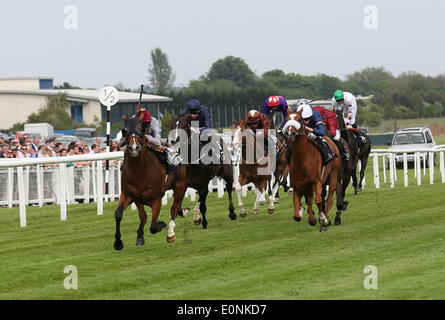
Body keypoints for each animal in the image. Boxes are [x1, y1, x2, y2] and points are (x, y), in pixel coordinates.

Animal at [113, 114, 186, 250]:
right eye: (125, 131)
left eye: (141, 130)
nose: (134, 147)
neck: (140, 171)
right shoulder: (130, 194)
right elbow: (119, 214)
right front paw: (119, 243)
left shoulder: (156, 199)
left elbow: (153, 226)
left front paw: (161, 224)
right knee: (144, 216)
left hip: (180, 186)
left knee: (174, 209)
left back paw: (170, 234)